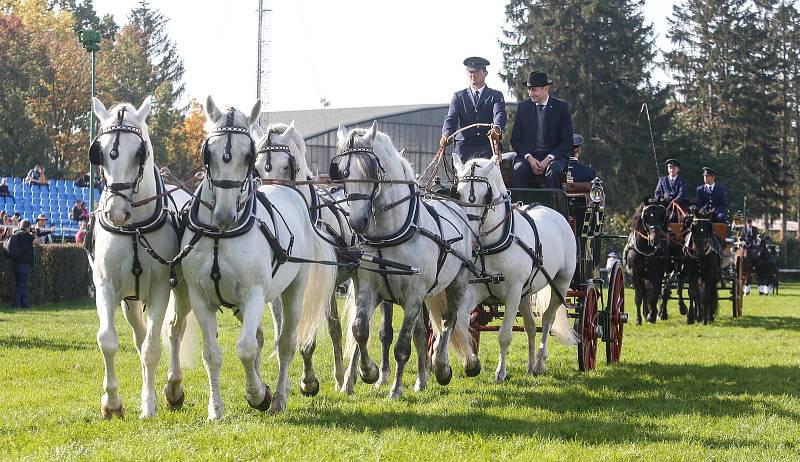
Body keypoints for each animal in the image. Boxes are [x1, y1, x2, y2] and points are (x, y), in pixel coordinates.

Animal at [88, 94, 192, 418]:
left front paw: (148, 406)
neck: (133, 227)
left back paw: (172, 389)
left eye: (139, 153)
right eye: (101, 153)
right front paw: (111, 403)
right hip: (130, 301)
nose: (116, 212)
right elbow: (108, 341)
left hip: (183, 291)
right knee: (140, 334)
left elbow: (152, 348)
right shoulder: (106, 287)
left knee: (173, 331)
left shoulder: (160, 289)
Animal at [181, 96, 338, 418]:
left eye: (246, 155)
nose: (224, 214)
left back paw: (278, 397)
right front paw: (215, 409)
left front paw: (258, 395)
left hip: (294, 289)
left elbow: (245, 347)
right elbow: (212, 353)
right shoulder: (200, 297)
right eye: (209, 153)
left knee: (287, 342)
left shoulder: (253, 294)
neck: (221, 235)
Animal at [253, 121, 396, 388]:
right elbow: (283, 334)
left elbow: (319, 331)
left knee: (368, 324)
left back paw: (365, 375)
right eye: (256, 169)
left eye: (286, 166)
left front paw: (312, 381)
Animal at [334, 122, 478, 400]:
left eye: (371, 171)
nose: (357, 222)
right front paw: (369, 372)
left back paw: (440, 368)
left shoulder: (412, 296)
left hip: (457, 283)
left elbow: (402, 346)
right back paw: (421, 380)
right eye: (343, 171)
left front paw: (395, 389)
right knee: (421, 333)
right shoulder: (369, 290)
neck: (391, 232)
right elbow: (361, 331)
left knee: (448, 322)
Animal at [450, 155, 580, 378]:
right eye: (458, 192)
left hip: (560, 284)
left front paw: (500, 372)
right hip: (525, 293)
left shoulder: (512, 292)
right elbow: (461, 324)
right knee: (530, 326)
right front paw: (471, 362)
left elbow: (504, 335)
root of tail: (555, 213)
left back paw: (540, 362)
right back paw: (530, 367)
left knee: (548, 319)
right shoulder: (475, 289)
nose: (470, 235)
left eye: (487, 195)